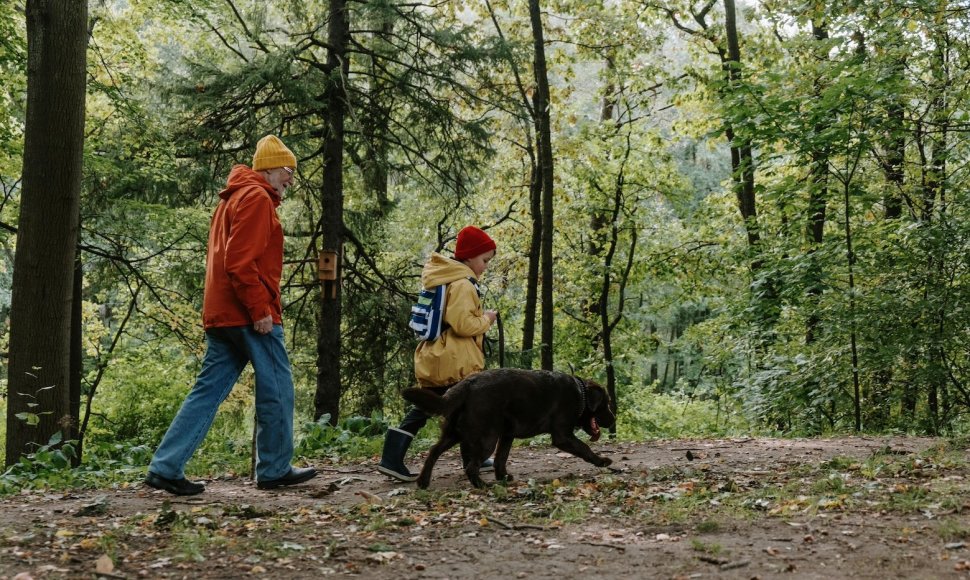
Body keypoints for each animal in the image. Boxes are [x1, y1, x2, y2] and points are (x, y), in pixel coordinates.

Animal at [398, 370, 612, 488]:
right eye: (606, 403)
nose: (613, 419)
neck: (580, 393)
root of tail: (466, 384)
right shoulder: (562, 435)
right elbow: (585, 448)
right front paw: (602, 461)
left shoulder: (507, 435)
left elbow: (502, 458)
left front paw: (502, 477)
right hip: (486, 439)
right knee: (470, 466)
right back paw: (482, 485)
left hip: (455, 433)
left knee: (434, 451)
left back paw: (423, 481)